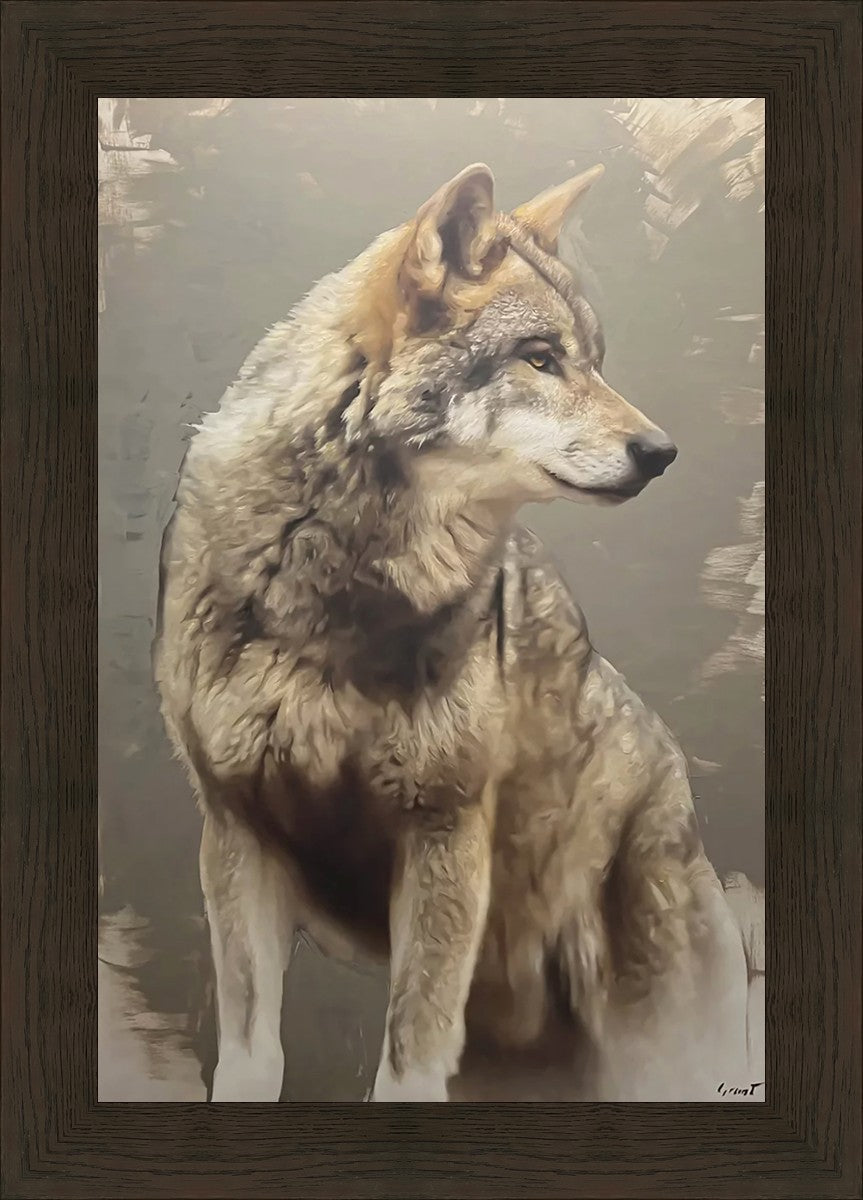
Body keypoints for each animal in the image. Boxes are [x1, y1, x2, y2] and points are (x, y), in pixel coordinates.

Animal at [154, 163, 761, 1102]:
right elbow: (254, 1057)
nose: (661, 453)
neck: (331, 593)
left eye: (594, 360)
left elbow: (406, 1065)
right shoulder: (236, 834)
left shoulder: (443, 836)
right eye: (541, 358)